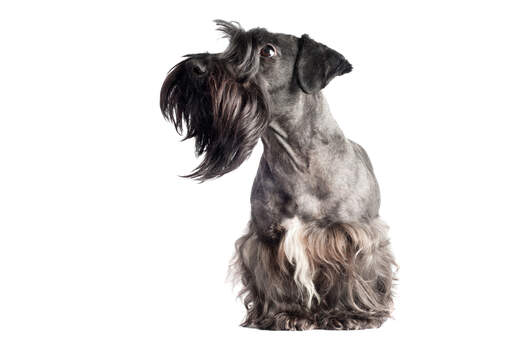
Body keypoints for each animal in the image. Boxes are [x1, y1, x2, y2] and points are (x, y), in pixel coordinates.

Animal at [159, 19, 396, 328]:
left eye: (267, 50)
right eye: (230, 44)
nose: (194, 67)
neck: (293, 156)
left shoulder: (351, 234)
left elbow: (352, 275)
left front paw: (349, 315)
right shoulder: (266, 237)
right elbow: (276, 280)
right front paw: (284, 314)